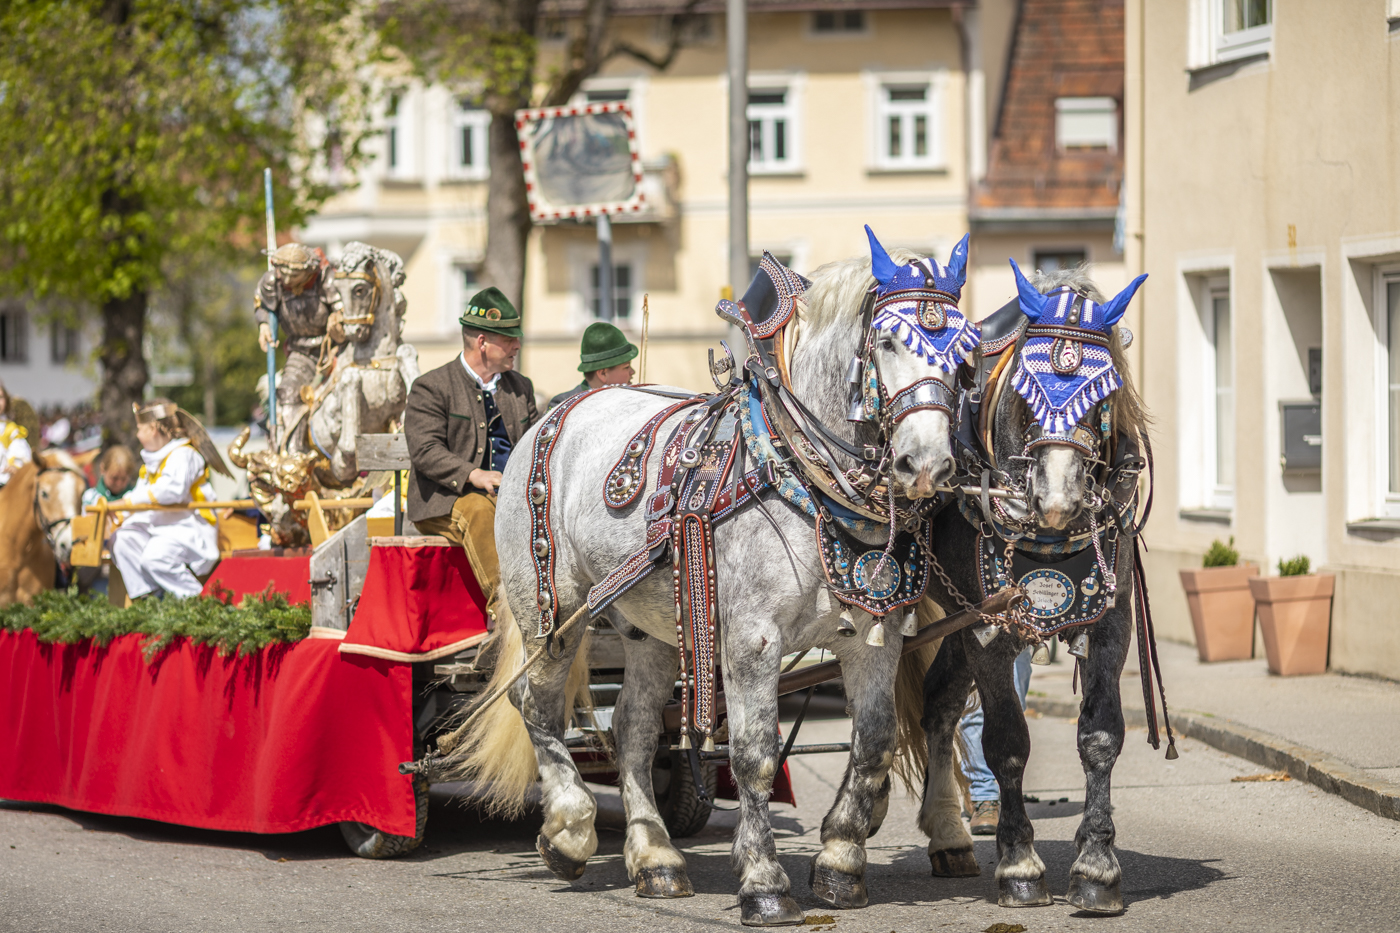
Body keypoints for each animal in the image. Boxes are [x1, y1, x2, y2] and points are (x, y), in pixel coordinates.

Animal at [453, 239, 968, 924]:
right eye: (887, 341)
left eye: (966, 351)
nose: (928, 464)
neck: (798, 472)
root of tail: (555, 414)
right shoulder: (751, 639)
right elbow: (752, 752)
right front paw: (764, 880)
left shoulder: (871, 634)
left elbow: (874, 744)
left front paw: (839, 863)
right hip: (552, 610)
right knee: (535, 704)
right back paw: (569, 829)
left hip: (651, 628)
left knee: (633, 730)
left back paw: (656, 858)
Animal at [918, 261, 1148, 907]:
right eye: (1026, 392)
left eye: (1102, 396)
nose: (1057, 500)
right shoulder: (991, 632)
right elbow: (1007, 743)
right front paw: (1019, 864)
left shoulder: (1110, 619)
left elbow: (1101, 736)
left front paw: (1097, 866)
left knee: (938, 704)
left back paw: (947, 836)